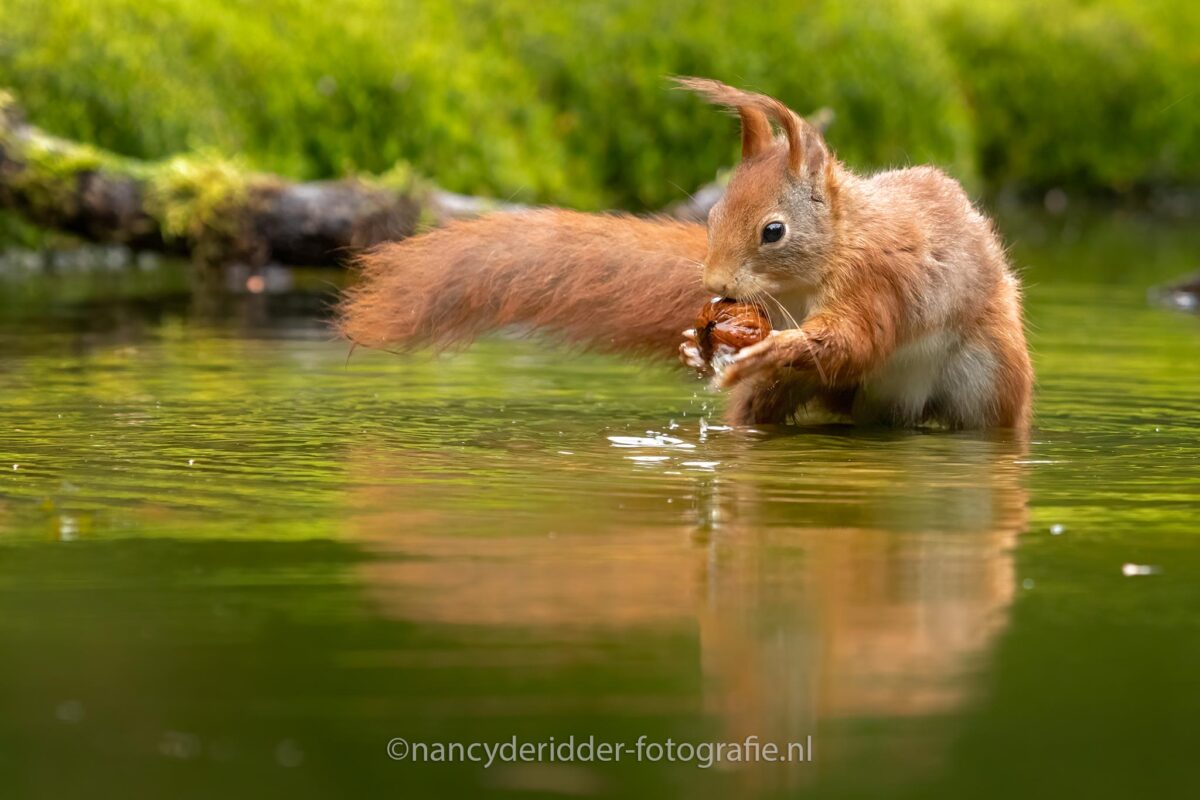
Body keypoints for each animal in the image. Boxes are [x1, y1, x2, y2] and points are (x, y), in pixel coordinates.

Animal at [338, 77, 1033, 431]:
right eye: (712, 216)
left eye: (773, 232)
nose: (713, 283)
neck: (831, 251)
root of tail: (894, 411)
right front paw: (695, 348)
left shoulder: (879, 277)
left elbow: (852, 337)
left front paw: (777, 344)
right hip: (806, 395)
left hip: (986, 381)